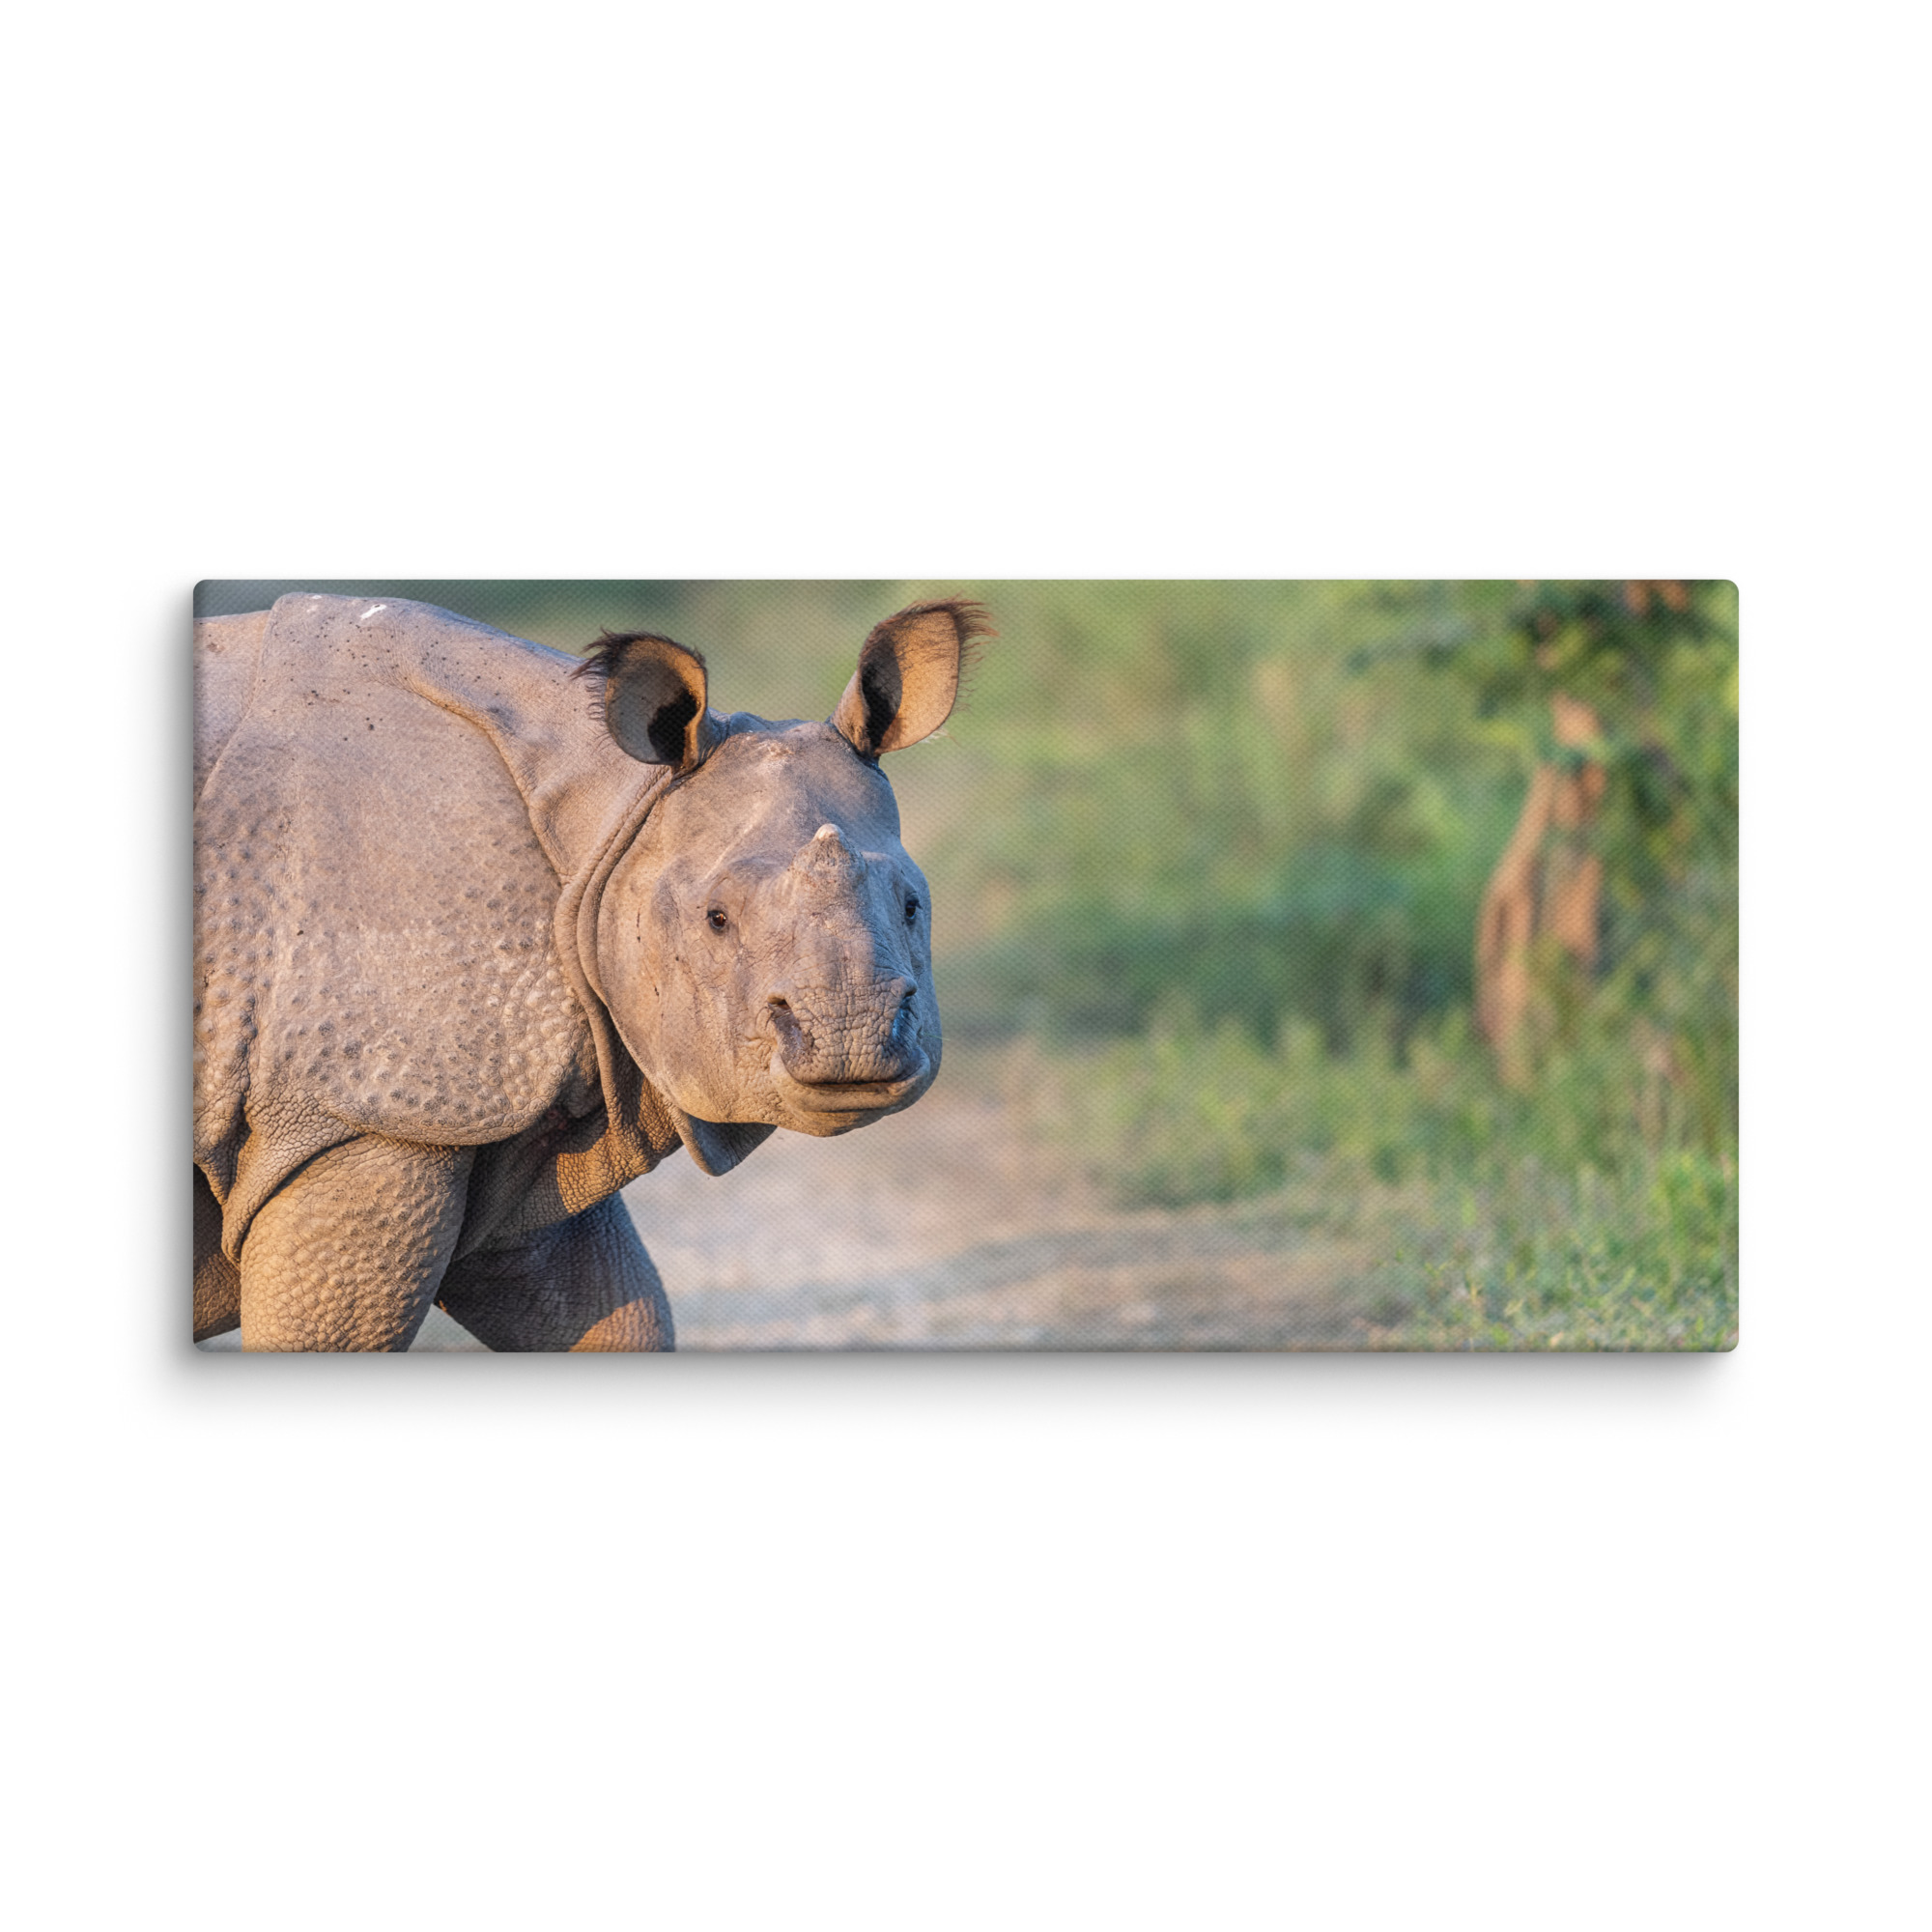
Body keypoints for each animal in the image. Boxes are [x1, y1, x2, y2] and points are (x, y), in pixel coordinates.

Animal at [193, 590, 987, 1351]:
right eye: (715, 919)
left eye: (912, 906)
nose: (852, 1039)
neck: (614, 816)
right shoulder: (370, 1117)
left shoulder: (505, 1128)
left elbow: (614, 1315)